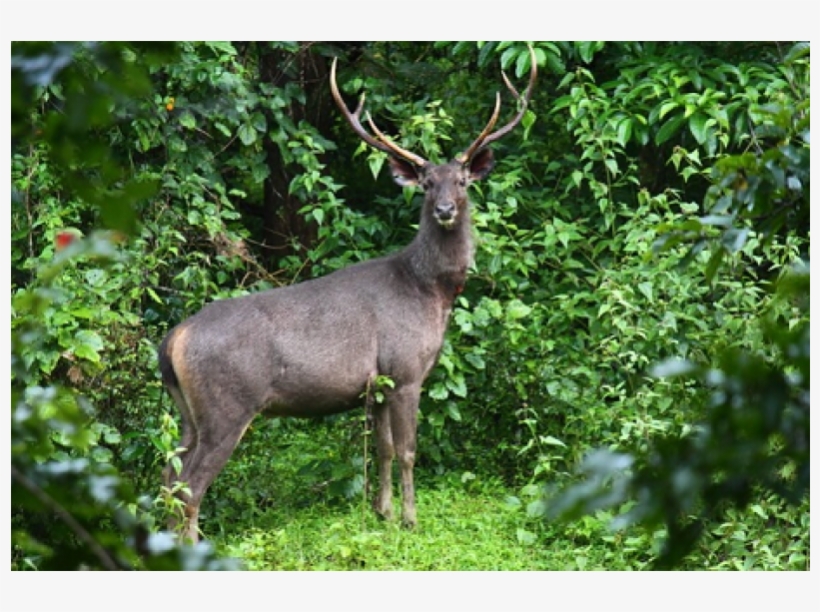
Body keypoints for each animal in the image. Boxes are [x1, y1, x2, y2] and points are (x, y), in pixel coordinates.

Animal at [158, 46, 537, 543]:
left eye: (462, 181)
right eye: (427, 183)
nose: (444, 210)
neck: (430, 291)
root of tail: (173, 340)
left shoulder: (375, 385)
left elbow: (384, 450)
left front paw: (383, 513)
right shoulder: (406, 369)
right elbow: (409, 451)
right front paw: (411, 520)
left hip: (186, 410)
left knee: (167, 478)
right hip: (228, 403)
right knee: (189, 486)